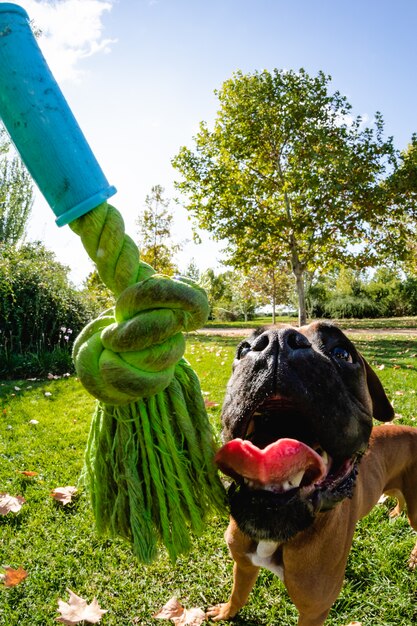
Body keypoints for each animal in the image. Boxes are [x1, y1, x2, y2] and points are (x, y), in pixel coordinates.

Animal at [207, 322, 416, 624]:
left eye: (342, 353)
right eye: (243, 348)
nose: (277, 341)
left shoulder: (314, 610)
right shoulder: (243, 565)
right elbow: (238, 594)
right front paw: (225, 612)